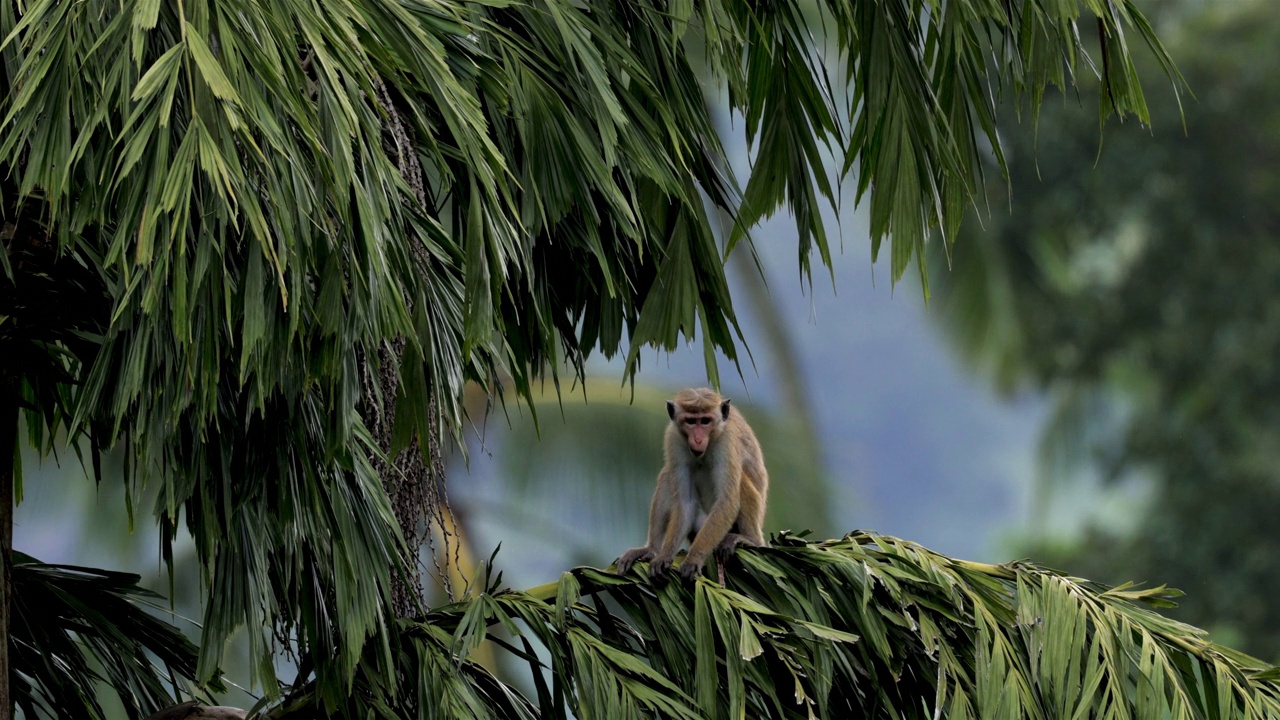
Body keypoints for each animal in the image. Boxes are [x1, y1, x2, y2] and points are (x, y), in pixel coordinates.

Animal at [611, 384, 762, 579]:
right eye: (691, 421)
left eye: (705, 421)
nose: (697, 439)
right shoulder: (673, 438)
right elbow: (685, 502)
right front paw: (664, 555)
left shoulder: (727, 441)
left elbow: (726, 501)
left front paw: (694, 558)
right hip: (698, 524)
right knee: (667, 475)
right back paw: (651, 549)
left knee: (740, 481)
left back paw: (750, 539)